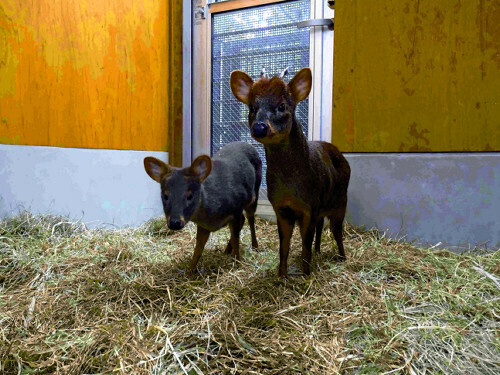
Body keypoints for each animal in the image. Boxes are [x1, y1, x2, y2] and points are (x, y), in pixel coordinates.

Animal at [143, 142, 262, 276]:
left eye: (190, 196)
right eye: (165, 196)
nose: (174, 222)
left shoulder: (236, 209)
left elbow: (236, 240)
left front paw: (238, 264)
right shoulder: (204, 225)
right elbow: (198, 248)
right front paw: (189, 271)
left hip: (254, 194)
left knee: (250, 219)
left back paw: (255, 246)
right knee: (243, 220)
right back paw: (227, 249)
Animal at [229, 67, 350, 280]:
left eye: (282, 105)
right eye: (252, 107)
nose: (260, 127)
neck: (291, 187)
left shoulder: (309, 207)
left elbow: (305, 245)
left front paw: (306, 274)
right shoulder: (281, 208)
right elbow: (284, 245)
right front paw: (282, 275)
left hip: (340, 201)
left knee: (337, 230)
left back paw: (341, 257)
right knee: (322, 227)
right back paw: (319, 251)